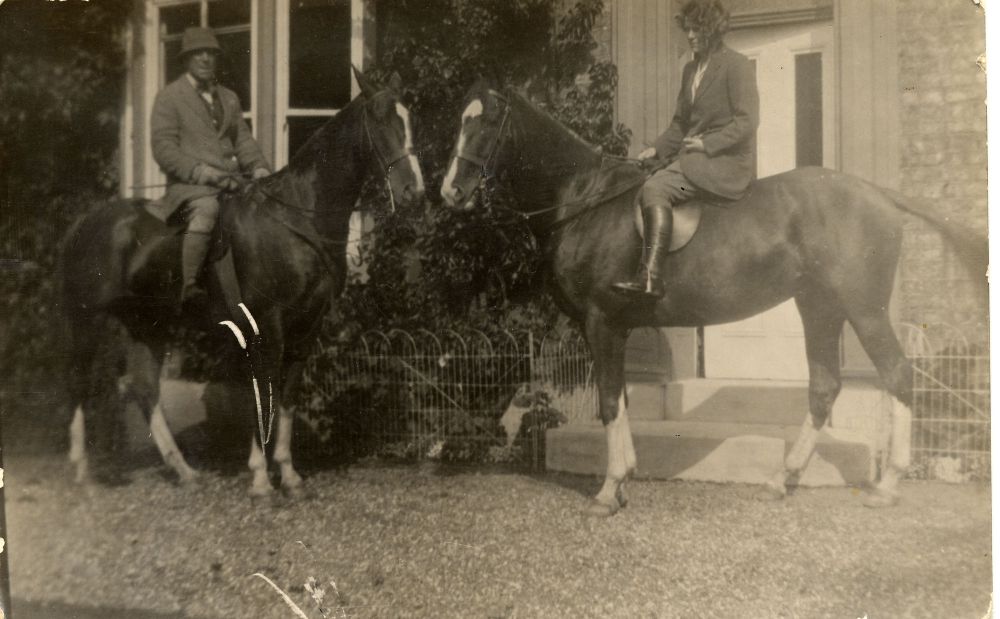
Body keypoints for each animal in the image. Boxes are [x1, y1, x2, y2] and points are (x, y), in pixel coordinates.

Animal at [62, 71, 422, 498]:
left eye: (409, 119)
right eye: (382, 121)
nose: (414, 191)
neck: (299, 219)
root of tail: (86, 222)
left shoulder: (307, 327)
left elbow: (287, 396)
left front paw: (289, 474)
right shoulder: (267, 324)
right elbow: (262, 392)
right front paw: (261, 477)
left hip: (150, 323)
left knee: (144, 387)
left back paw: (183, 470)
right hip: (88, 321)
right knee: (80, 381)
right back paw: (83, 472)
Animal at [442, 83, 988, 520]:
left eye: (485, 124)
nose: (450, 192)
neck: (586, 200)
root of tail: (878, 193)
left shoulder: (601, 323)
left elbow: (608, 402)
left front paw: (608, 490)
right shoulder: (613, 329)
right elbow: (621, 400)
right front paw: (624, 480)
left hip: (864, 310)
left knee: (897, 374)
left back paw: (887, 485)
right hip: (819, 308)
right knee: (824, 387)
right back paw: (782, 479)